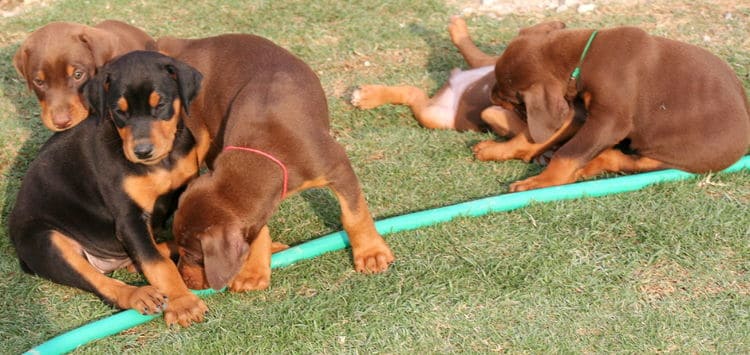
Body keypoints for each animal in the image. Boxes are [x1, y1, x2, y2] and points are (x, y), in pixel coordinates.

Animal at [9, 50, 209, 328]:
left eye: (160, 104)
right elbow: (157, 265)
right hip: (47, 240)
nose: (142, 151)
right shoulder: (128, 218)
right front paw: (183, 304)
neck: (162, 162)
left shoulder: (187, 185)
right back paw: (139, 294)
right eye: (118, 111)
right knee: (103, 283)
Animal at [159, 34, 400, 292]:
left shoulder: (337, 166)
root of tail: (191, 43)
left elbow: (354, 216)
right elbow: (257, 231)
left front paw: (371, 253)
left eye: (192, 255)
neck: (262, 153)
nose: (186, 281)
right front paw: (252, 271)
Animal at [478, 21, 748, 192]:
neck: (585, 58)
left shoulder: (608, 122)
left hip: (670, 155)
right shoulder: (578, 111)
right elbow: (538, 136)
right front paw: (498, 150)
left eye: (511, 99)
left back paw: (585, 168)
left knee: (623, 159)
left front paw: (542, 182)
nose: (490, 95)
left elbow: (568, 152)